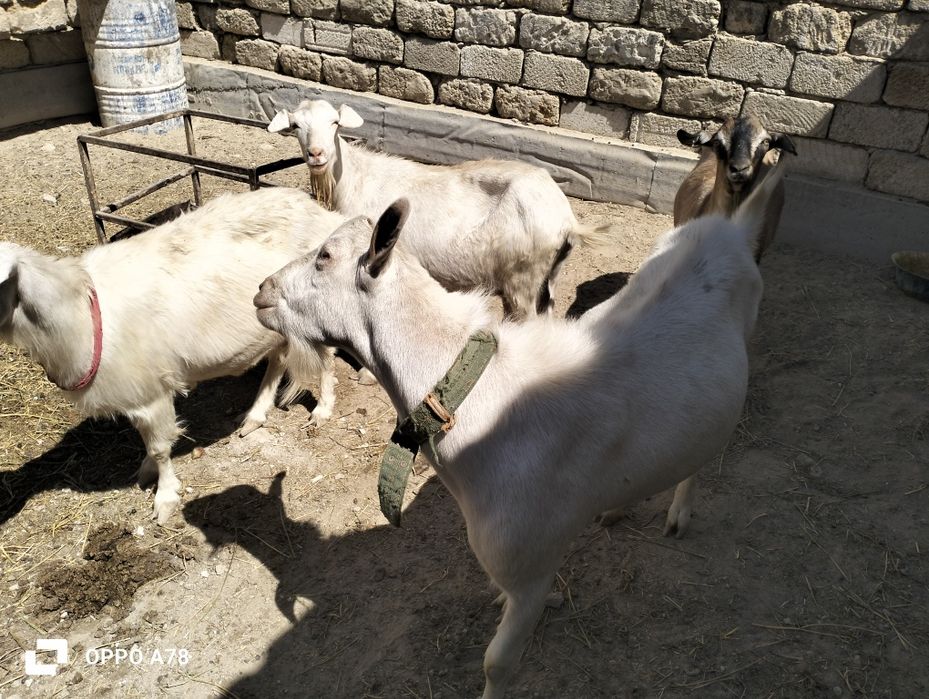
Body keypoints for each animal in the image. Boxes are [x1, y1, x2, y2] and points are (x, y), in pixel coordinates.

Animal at [0, 187, 344, 524]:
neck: (81, 316)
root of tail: (324, 213)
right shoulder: (134, 392)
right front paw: (146, 472)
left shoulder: (151, 393)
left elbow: (159, 448)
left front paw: (164, 496)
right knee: (278, 360)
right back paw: (255, 415)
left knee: (326, 358)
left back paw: (322, 409)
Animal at [253, 160, 785, 697]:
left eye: (325, 257)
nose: (261, 290)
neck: (474, 394)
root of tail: (730, 230)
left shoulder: (528, 559)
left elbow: (499, 662)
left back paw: (679, 512)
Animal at [267, 99, 614, 320]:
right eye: (296, 125)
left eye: (335, 123)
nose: (316, 153)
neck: (353, 178)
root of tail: (567, 218)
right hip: (549, 277)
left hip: (522, 279)